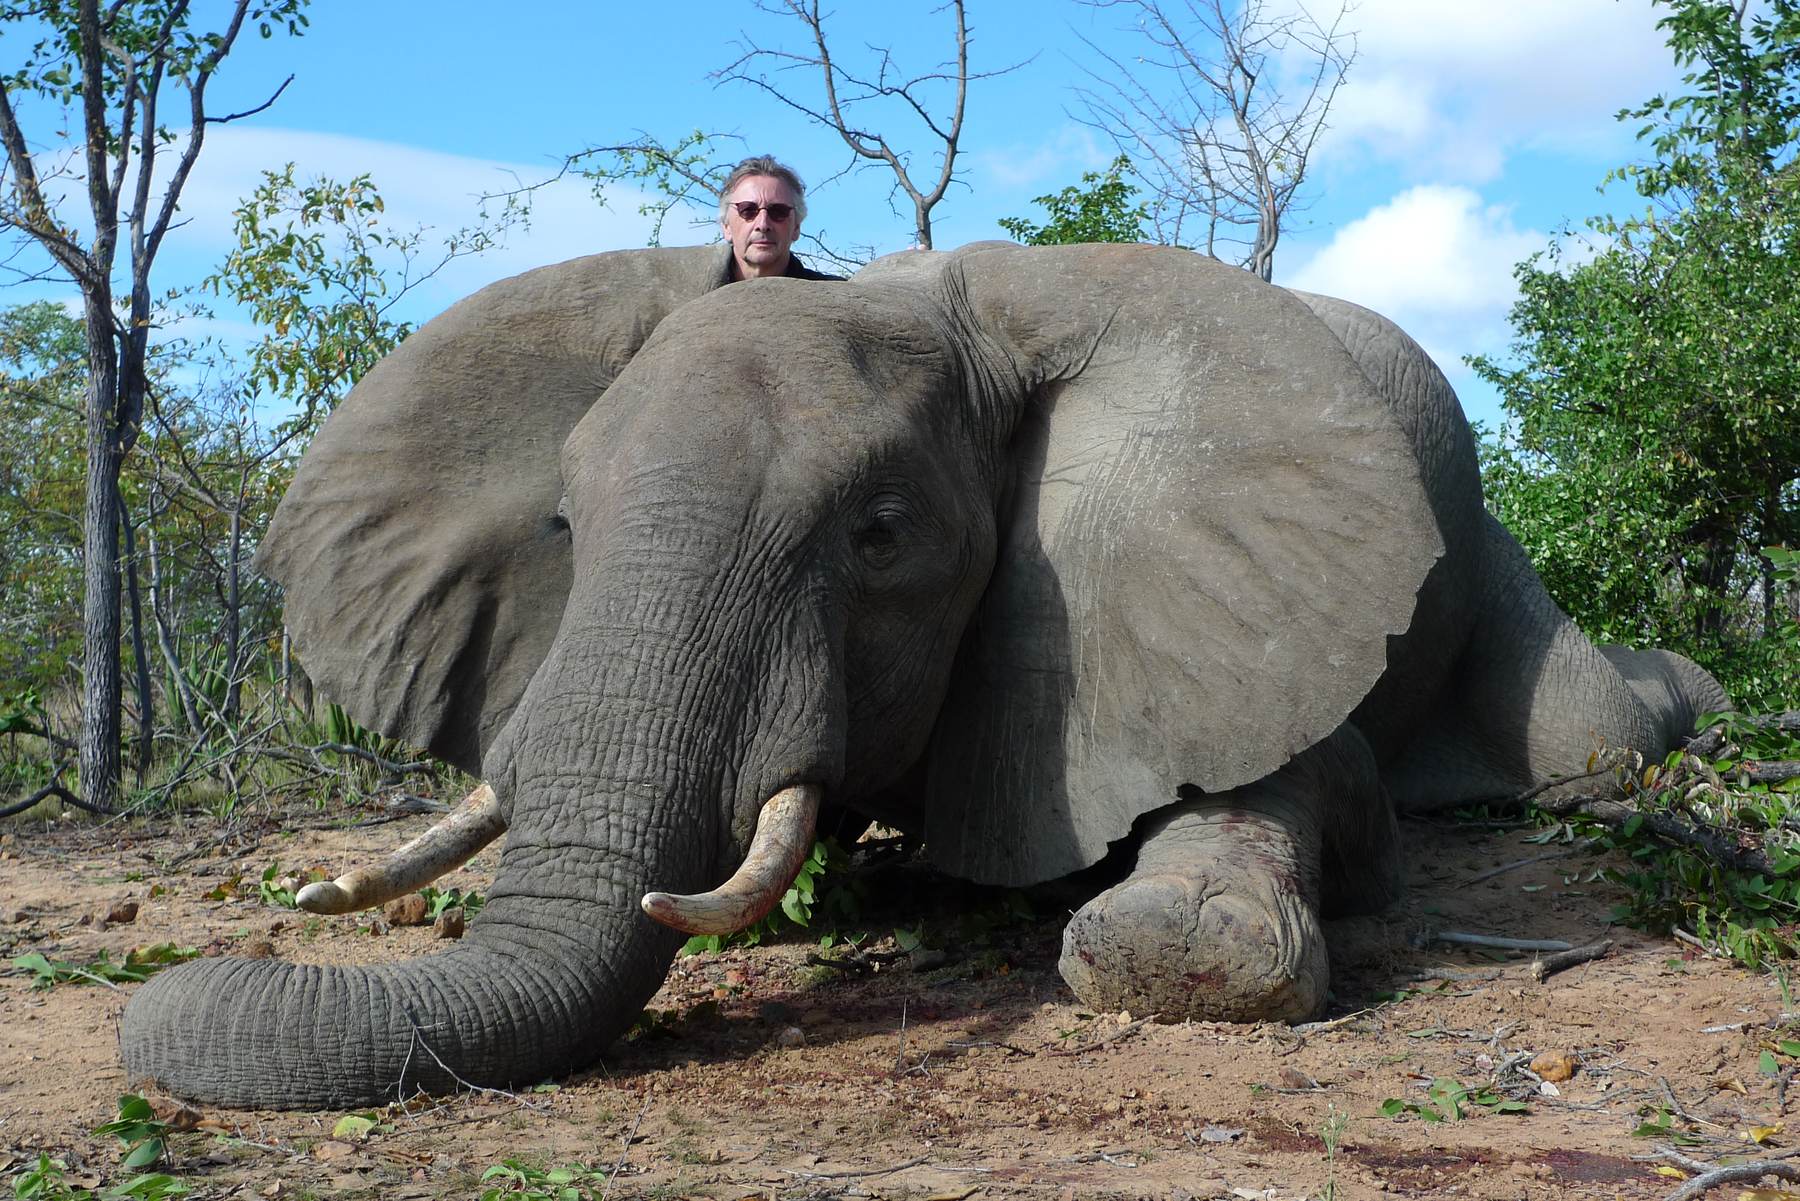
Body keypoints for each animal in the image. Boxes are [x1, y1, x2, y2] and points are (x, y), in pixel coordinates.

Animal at [118, 241, 1727, 1109]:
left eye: (879, 536)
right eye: (564, 526)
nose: (231, 957)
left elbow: (1306, 780)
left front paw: (1167, 944)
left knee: (1592, 738)